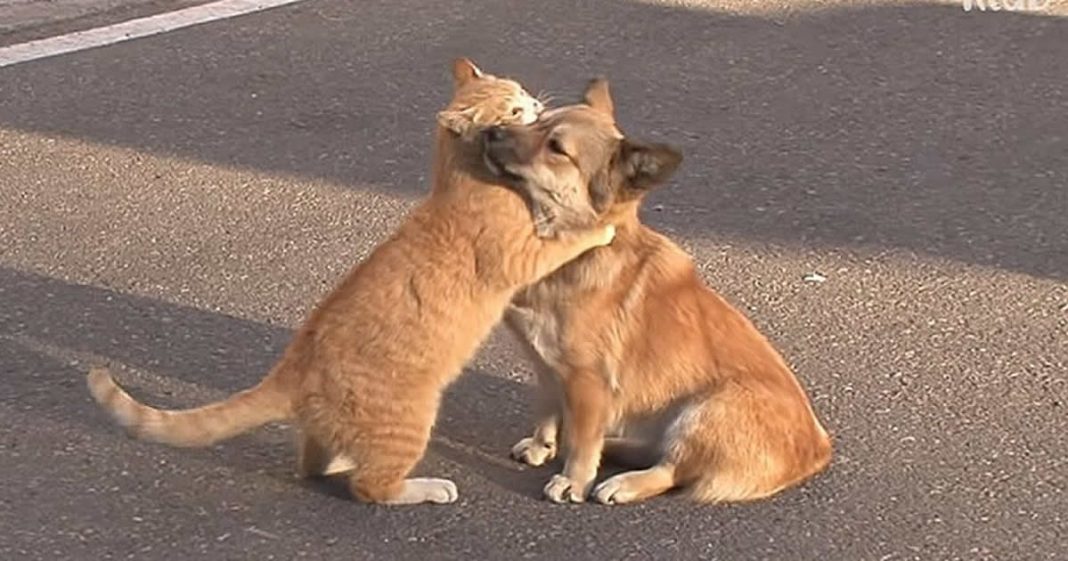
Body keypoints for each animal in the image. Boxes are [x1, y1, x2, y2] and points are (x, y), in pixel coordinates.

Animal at [87, 59, 615, 504]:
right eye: (513, 110)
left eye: (521, 93)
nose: (536, 104)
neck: (460, 176)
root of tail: (291, 370)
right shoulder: (523, 255)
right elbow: (568, 238)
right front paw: (600, 227)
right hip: (410, 422)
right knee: (371, 487)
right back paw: (426, 487)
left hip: (330, 435)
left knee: (313, 466)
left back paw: (339, 461)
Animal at [487, 78, 833, 502]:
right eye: (537, 120)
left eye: (556, 147)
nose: (491, 131)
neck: (578, 251)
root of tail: (818, 448)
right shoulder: (548, 368)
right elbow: (548, 412)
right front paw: (542, 445)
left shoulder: (588, 382)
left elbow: (584, 442)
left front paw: (574, 480)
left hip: (705, 409)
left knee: (672, 469)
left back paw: (622, 482)